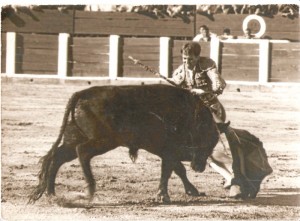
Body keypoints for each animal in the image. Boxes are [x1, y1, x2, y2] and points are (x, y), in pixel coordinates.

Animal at [29, 84, 219, 204]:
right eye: (207, 141)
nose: (200, 167)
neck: (191, 116)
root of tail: (83, 93)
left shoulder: (164, 150)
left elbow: (176, 169)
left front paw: (190, 191)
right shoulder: (167, 149)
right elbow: (171, 170)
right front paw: (164, 196)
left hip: (75, 137)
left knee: (56, 158)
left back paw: (51, 194)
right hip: (105, 141)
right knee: (82, 151)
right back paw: (89, 190)